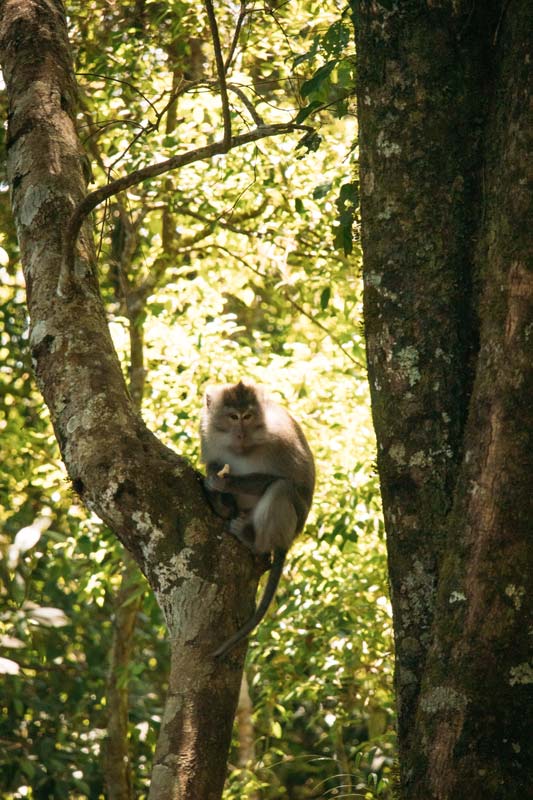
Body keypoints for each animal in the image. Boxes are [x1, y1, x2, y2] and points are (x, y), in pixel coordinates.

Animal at [200, 380, 315, 658]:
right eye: (233, 417)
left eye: (248, 416)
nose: (241, 434)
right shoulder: (207, 433)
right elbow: (213, 461)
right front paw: (213, 477)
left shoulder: (281, 439)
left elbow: (296, 482)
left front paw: (224, 481)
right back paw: (222, 506)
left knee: (282, 488)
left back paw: (253, 539)